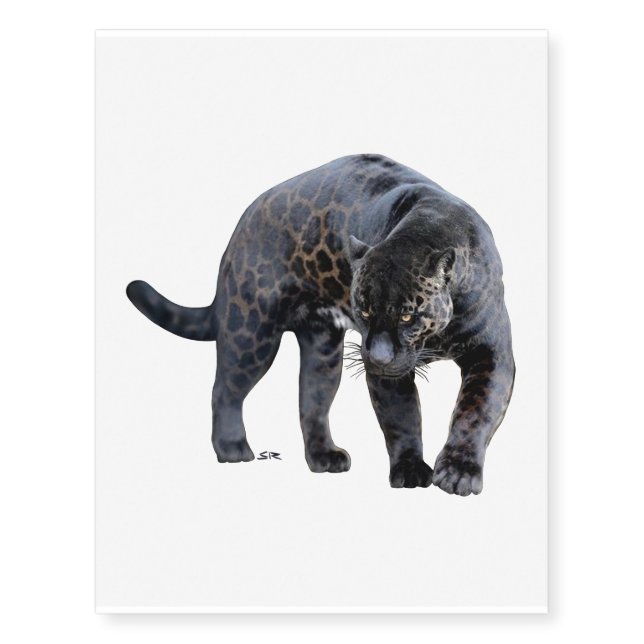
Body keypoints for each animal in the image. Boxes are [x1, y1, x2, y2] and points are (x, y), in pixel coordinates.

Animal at [127, 154, 515, 495]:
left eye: (407, 315)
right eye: (364, 311)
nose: (378, 357)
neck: (427, 227)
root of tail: (242, 224)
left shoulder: (490, 352)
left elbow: (474, 412)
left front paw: (458, 472)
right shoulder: (388, 373)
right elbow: (402, 416)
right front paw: (409, 469)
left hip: (323, 350)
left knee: (311, 402)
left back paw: (323, 457)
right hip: (251, 331)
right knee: (225, 389)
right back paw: (232, 447)